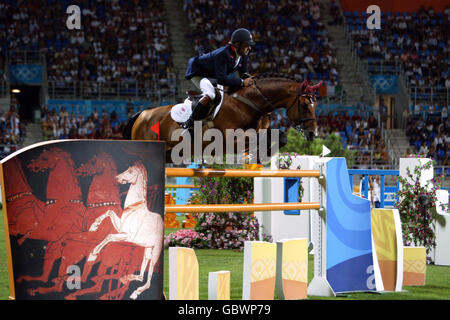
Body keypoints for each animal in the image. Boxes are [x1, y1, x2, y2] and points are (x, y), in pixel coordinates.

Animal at [86, 161, 163, 298]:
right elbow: (109, 212)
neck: (134, 209)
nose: (117, 178)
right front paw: (93, 227)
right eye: (127, 168)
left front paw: (93, 254)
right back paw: (126, 278)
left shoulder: (126, 236)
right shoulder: (120, 228)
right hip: (148, 248)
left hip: (156, 251)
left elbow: (109, 236)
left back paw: (136, 292)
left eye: (131, 172)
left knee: (149, 277)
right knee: (142, 272)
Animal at [122, 78, 320, 162]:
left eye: (315, 105)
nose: (313, 133)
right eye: (304, 105)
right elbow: (258, 139)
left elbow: (280, 137)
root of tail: (142, 114)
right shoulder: (233, 140)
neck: (250, 103)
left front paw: (262, 156)